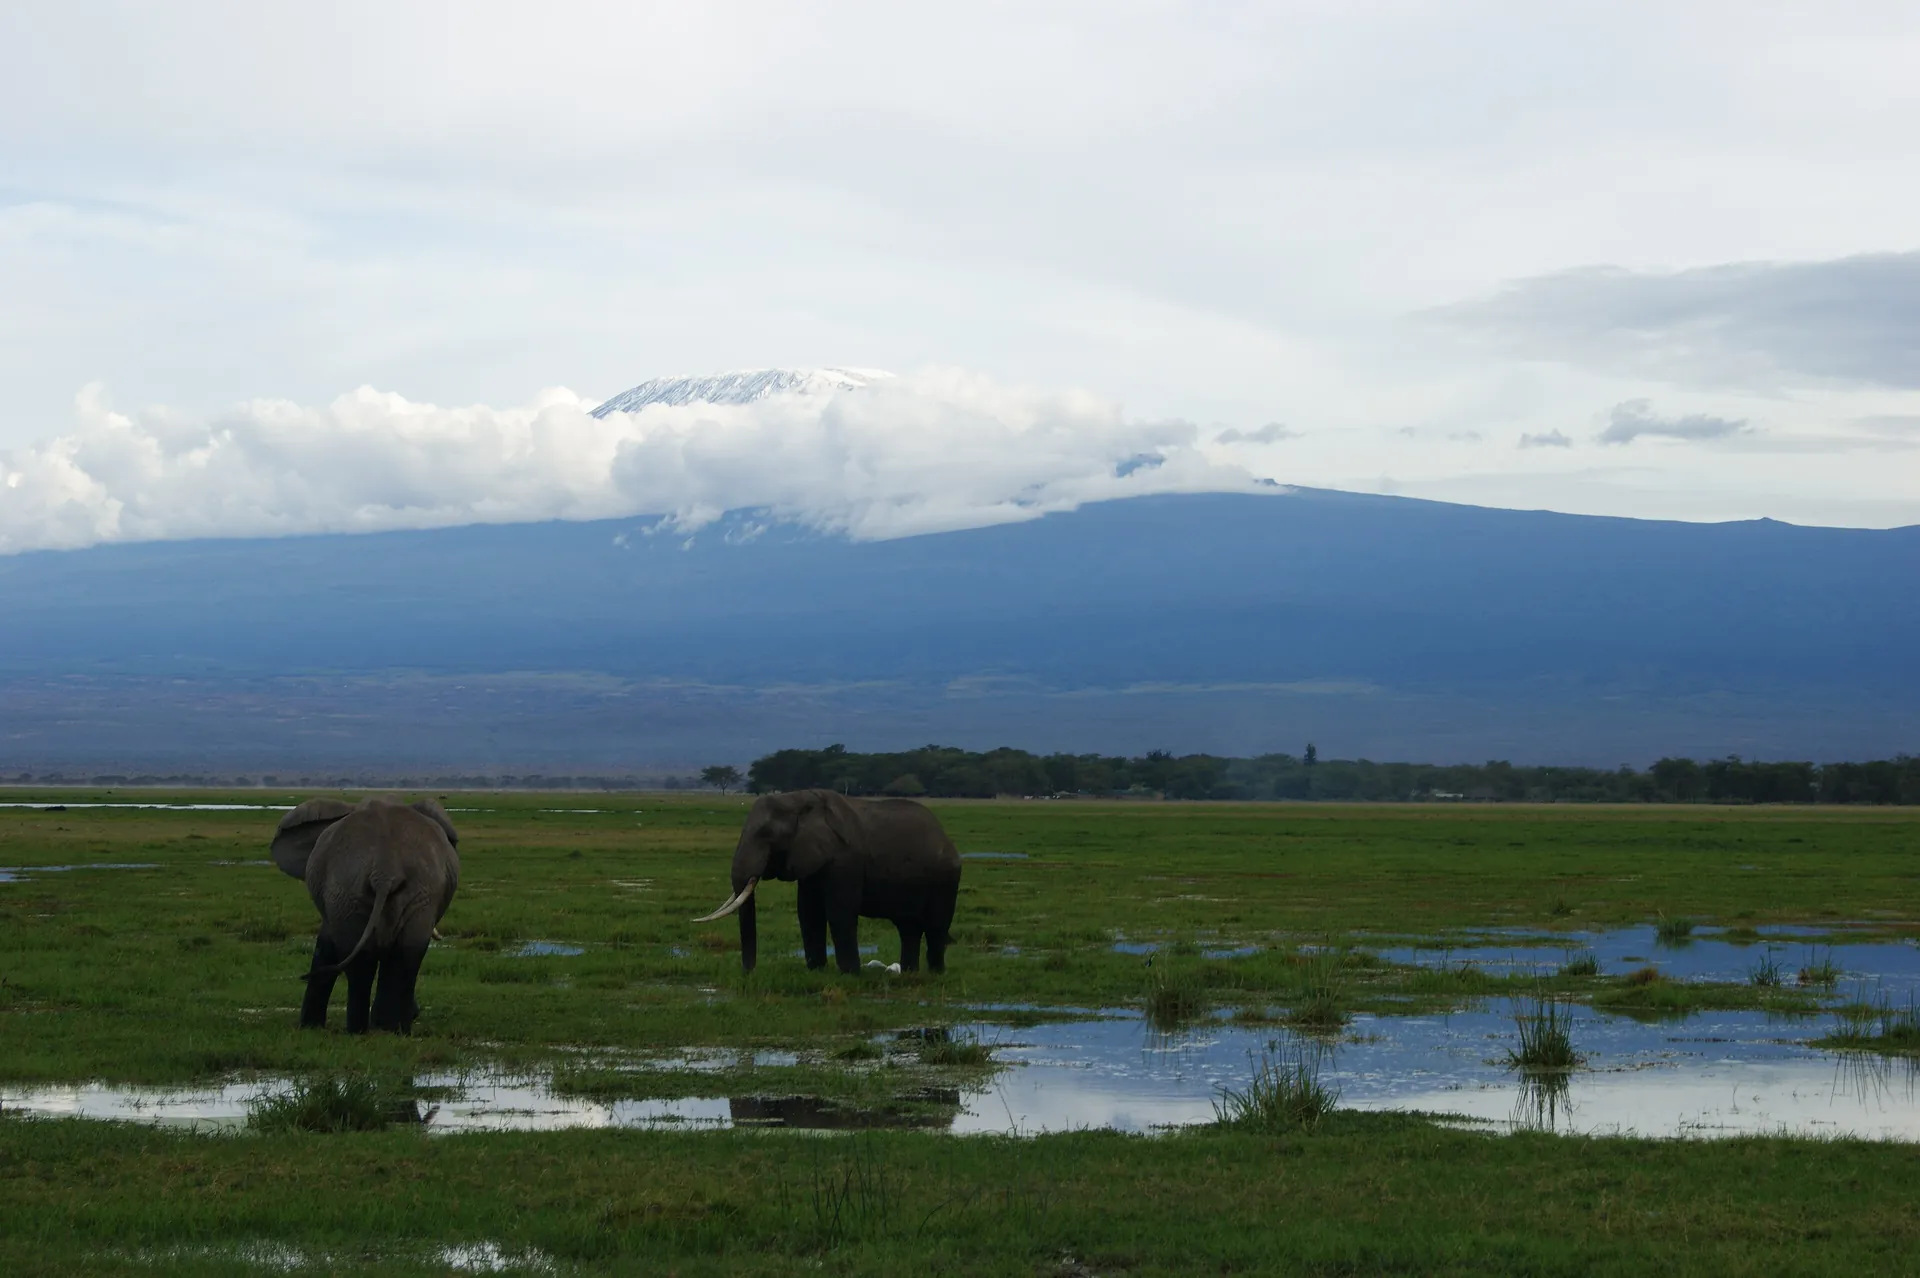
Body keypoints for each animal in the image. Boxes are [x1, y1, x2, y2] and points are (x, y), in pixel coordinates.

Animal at [270, 796, 460, 1034]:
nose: (417, 1012)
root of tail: (385, 870)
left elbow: (326, 947)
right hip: (360, 892)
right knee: (392, 956)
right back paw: (380, 1030)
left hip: (369, 893)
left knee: (385, 957)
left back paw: (373, 1030)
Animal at [694, 789, 962, 975]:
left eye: (767, 835)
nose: (748, 973)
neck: (797, 800)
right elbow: (808, 911)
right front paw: (816, 971)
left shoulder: (845, 859)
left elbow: (840, 911)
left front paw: (850, 975)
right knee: (909, 928)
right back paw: (909, 973)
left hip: (946, 879)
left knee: (936, 926)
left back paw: (935, 974)